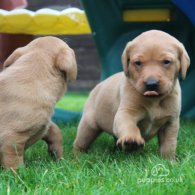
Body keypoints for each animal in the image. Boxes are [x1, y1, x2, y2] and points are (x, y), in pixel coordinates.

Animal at [0, 36, 77, 169]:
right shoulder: (12, 137)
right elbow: (13, 158)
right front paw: (19, 172)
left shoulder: (43, 123)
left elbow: (55, 131)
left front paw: (59, 157)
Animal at [74, 29, 190, 161]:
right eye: (138, 63)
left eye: (166, 62)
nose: (151, 84)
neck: (154, 100)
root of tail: (97, 86)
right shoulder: (126, 112)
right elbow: (129, 125)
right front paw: (131, 139)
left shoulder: (170, 122)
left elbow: (169, 145)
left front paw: (169, 161)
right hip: (88, 126)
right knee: (79, 143)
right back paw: (78, 158)